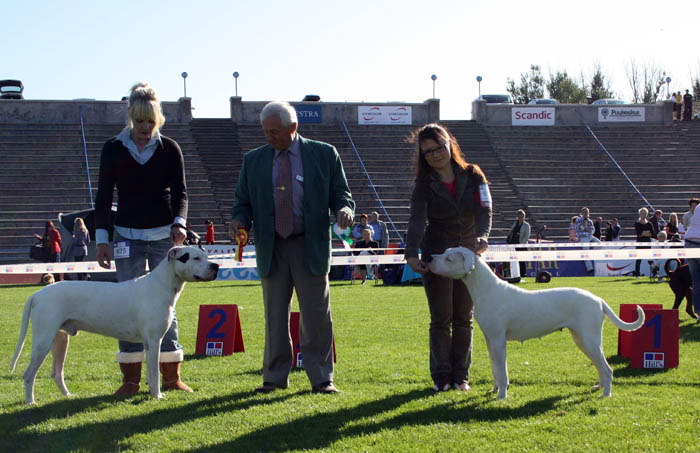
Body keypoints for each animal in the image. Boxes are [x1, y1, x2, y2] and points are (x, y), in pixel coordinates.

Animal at [10, 245, 217, 404]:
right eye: (196, 258)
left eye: (207, 256)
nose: (215, 265)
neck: (161, 285)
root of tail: (37, 295)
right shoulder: (153, 341)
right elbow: (154, 372)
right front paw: (157, 395)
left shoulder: (149, 343)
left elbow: (151, 373)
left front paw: (152, 392)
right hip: (43, 340)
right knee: (29, 374)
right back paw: (30, 402)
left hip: (60, 340)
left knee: (57, 372)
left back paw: (68, 395)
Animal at [426, 245, 644, 398]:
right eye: (444, 252)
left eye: (449, 258)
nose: (429, 258)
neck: (485, 289)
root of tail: (598, 299)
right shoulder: (490, 341)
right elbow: (495, 368)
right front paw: (494, 390)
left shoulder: (498, 341)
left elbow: (502, 371)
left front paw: (501, 395)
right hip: (581, 339)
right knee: (600, 366)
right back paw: (599, 386)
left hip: (589, 339)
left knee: (607, 369)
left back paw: (606, 394)